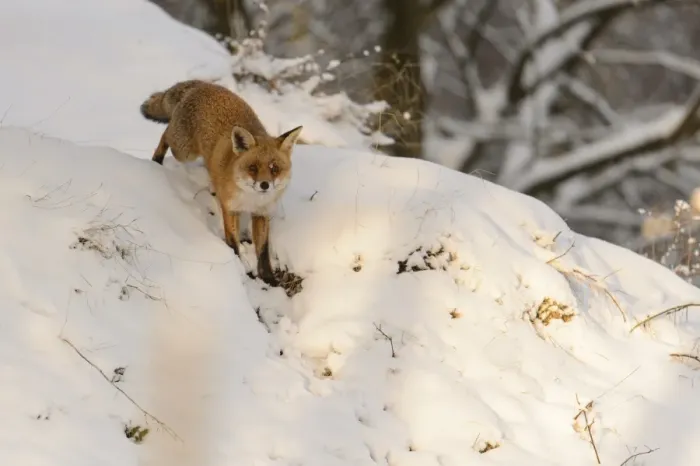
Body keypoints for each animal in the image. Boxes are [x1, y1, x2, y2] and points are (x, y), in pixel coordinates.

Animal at [140, 79, 303, 286]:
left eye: (274, 168)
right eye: (253, 167)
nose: (264, 185)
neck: (250, 198)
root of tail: (203, 84)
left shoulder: (261, 213)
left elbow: (263, 251)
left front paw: (268, 278)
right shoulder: (230, 208)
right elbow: (232, 241)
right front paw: (238, 267)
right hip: (184, 151)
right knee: (166, 133)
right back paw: (157, 159)